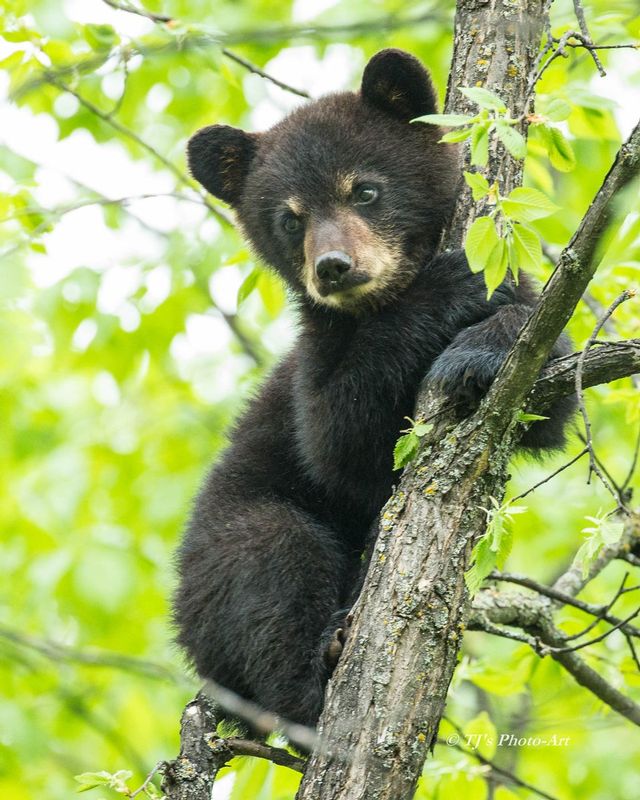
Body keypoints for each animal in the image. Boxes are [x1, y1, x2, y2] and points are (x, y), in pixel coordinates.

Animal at [174, 49, 574, 727]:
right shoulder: (312, 366)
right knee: (274, 565)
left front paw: (477, 350)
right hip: (225, 561)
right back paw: (319, 664)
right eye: (290, 219)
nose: (333, 267)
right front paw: (449, 290)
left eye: (364, 189)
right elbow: (340, 441)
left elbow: (551, 392)